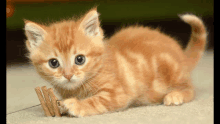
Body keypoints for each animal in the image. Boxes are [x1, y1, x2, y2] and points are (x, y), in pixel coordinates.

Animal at [24, 8, 206, 117]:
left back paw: (176, 95)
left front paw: (75, 105)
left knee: (190, 88)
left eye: (80, 59)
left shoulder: (118, 93)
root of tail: (181, 55)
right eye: (54, 63)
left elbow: (96, 101)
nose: (68, 75)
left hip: (173, 72)